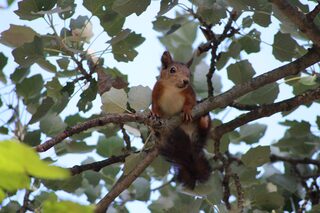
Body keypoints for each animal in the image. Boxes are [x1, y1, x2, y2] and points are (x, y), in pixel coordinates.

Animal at [151, 50, 211, 189]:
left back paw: (204, 121)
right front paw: (155, 112)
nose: (186, 81)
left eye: (189, 73)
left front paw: (187, 111)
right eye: (172, 70)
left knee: (203, 131)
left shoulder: (189, 93)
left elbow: (191, 103)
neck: (172, 89)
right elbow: (155, 105)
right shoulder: (156, 91)